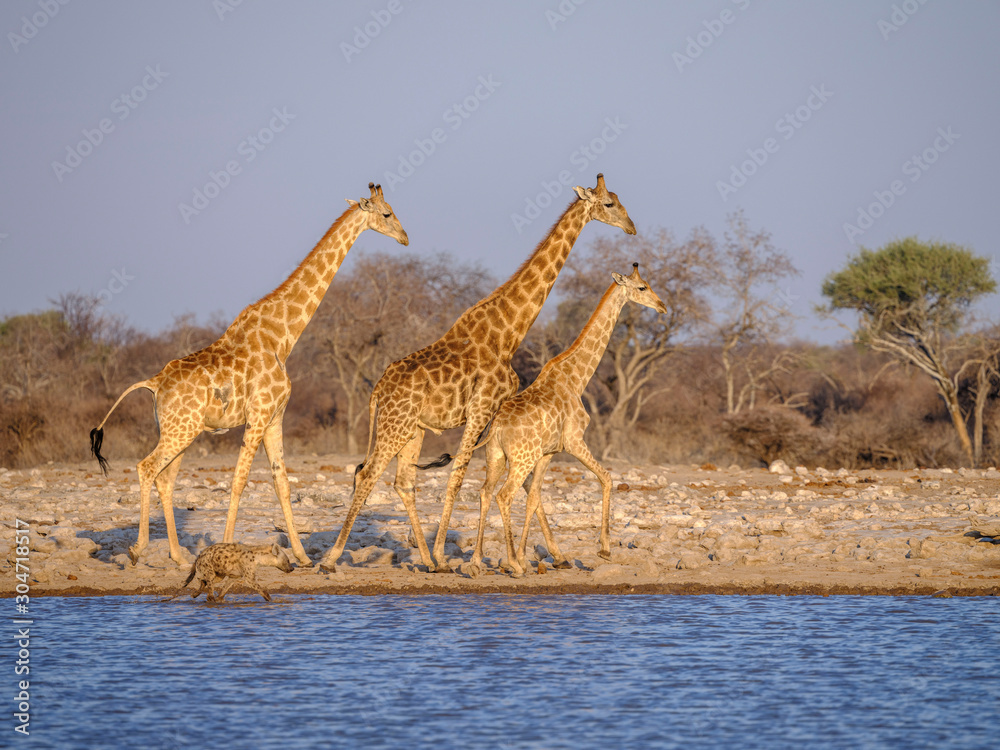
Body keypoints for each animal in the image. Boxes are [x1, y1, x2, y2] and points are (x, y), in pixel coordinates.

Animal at [89, 183, 408, 567]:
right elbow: (239, 481)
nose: (405, 237)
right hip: (181, 431)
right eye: (387, 213)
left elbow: (281, 482)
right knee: (146, 468)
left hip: (179, 430)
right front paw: (228, 548)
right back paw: (137, 550)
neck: (283, 336)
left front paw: (302, 557)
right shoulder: (257, 415)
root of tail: (154, 384)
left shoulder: (274, 417)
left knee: (165, 479)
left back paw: (179, 557)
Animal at [319, 174, 635, 572]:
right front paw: (463, 555)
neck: (508, 332)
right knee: (368, 473)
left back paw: (428, 561)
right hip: (395, 426)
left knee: (403, 481)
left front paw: (544, 556)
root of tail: (377, 390)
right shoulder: (482, 409)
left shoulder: (495, 416)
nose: (631, 227)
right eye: (609, 204)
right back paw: (333, 558)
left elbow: (510, 483)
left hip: (412, 429)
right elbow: (460, 477)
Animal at [471, 263, 668, 577]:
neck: (577, 378)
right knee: (504, 496)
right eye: (642, 287)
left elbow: (534, 498)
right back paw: (512, 563)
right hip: (521, 459)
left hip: (496, 457)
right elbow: (607, 477)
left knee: (485, 493)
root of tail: (498, 426)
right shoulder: (574, 441)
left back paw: (477, 562)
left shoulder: (548, 452)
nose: (662, 306)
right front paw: (604, 549)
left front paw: (531, 557)